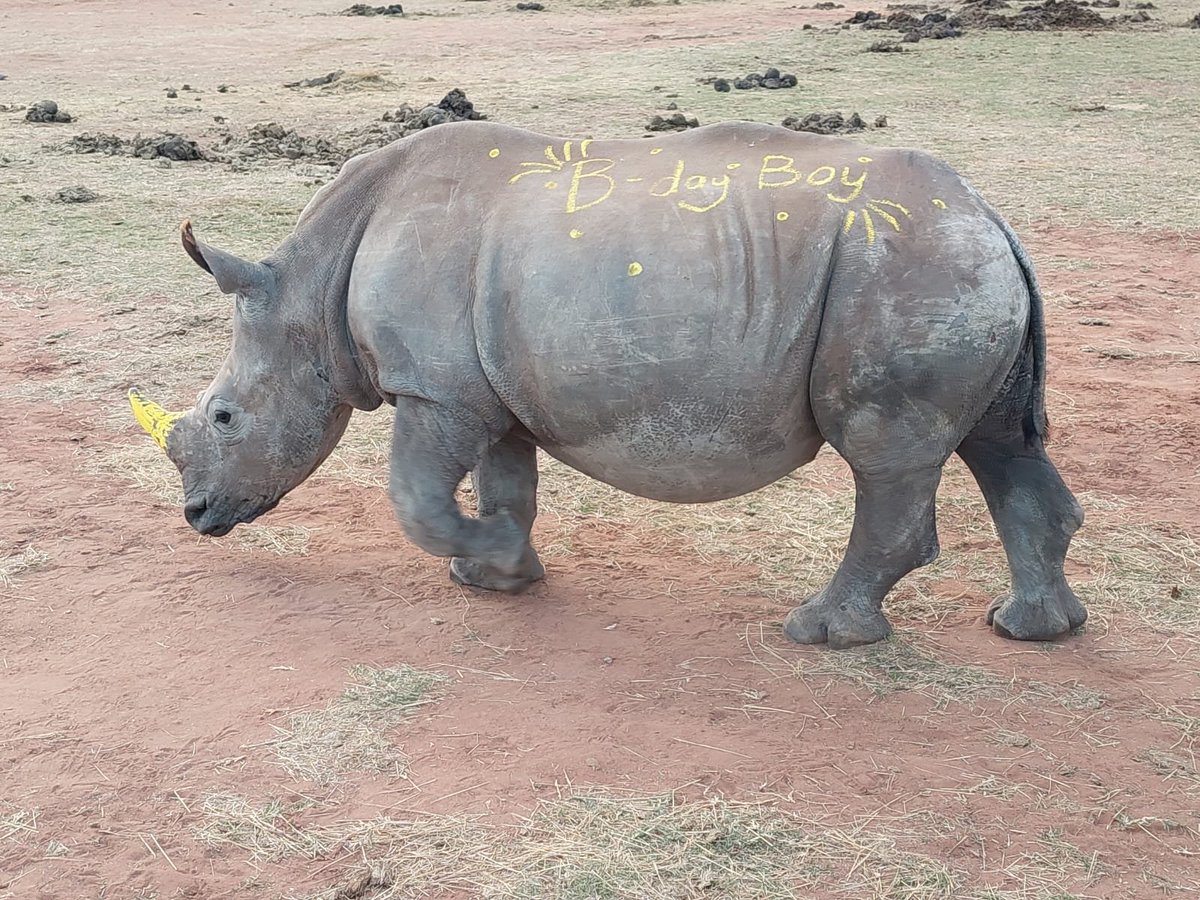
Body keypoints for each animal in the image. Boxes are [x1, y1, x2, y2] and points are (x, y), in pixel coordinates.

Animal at [129, 121, 1087, 648]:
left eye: (225, 417)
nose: (197, 517)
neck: (308, 289)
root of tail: (990, 216)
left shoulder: (435, 390)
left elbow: (417, 501)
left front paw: (481, 557)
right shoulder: (489, 391)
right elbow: (508, 483)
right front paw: (498, 576)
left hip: (904, 268)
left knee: (888, 457)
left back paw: (820, 633)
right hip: (944, 266)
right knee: (998, 444)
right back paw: (1030, 629)